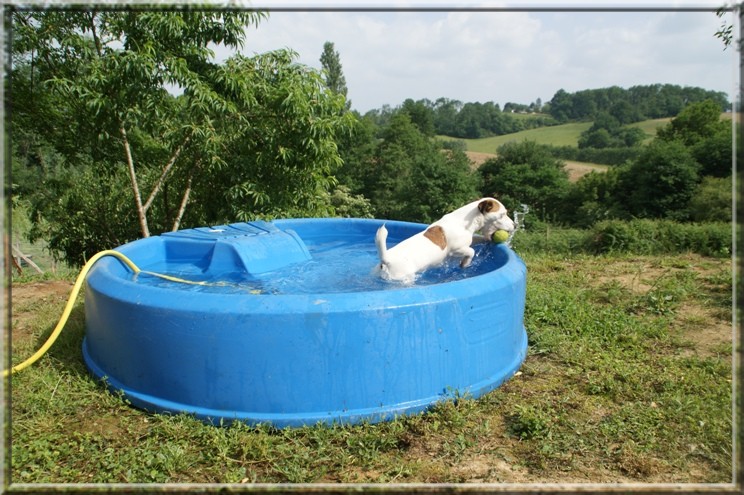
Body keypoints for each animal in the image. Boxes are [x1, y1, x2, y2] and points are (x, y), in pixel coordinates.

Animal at [374, 197, 516, 282]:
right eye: (502, 215)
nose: (515, 225)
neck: (464, 222)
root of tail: (386, 259)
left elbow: (477, 239)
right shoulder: (456, 250)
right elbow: (471, 251)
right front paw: (465, 263)